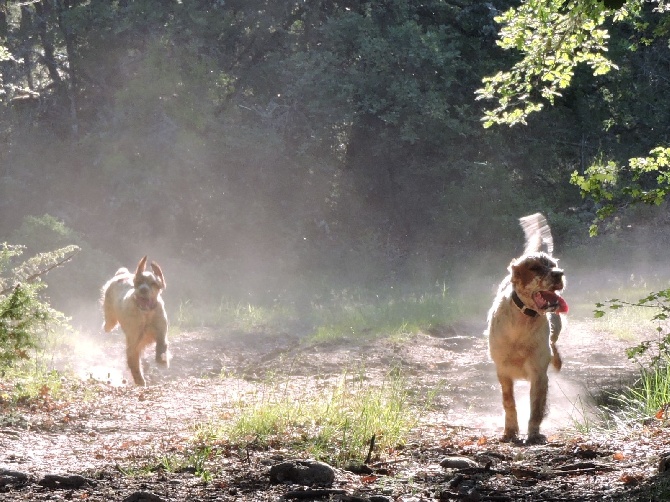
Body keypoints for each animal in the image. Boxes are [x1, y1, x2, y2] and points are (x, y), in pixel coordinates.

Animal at [103, 256, 171, 386]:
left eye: (153, 283)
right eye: (139, 282)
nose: (143, 290)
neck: (146, 314)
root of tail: (121, 274)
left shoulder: (161, 333)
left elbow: (161, 346)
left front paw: (162, 360)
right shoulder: (133, 342)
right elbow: (134, 364)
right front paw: (140, 381)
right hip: (110, 318)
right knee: (109, 323)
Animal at [486, 212, 568, 444]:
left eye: (553, 264)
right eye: (535, 268)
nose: (559, 273)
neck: (523, 322)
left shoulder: (538, 373)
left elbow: (536, 408)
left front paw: (533, 434)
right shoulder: (503, 371)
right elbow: (509, 403)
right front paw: (510, 432)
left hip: (557, 326)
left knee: (555, 344)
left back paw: (557, 360)